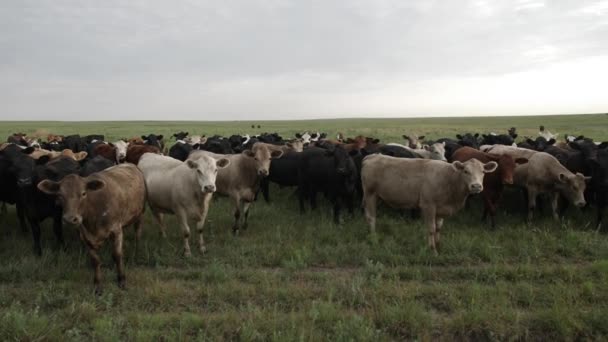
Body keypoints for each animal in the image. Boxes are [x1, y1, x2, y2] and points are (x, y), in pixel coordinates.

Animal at [38, 164, 147, 296]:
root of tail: (129, 164)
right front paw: (97, 286)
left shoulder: (116, 229)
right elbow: (95, 261)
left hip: (140, 214)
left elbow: (117, 254)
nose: (70, 219)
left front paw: (121, 280)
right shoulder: (84, 235)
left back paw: (137, 254)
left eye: (83, 193)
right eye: (60, 195)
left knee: (138, 234)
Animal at [360, 155, 494, 254]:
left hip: (377, 196)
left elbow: (438, 228)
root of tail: (373, 156)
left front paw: (439, 246)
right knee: (371, 217)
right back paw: (373, 238)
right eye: (466, 171)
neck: (448, 179)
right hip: (370, 193)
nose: (476, 186)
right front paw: (433, 250)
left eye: (483, 172)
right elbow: (431, 229)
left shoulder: (441, 208)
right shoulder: (428, 205)